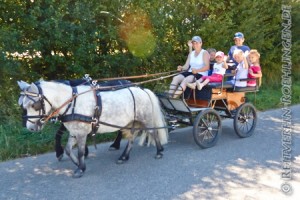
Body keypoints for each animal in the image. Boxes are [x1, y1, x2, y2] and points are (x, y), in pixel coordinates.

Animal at [18, 80, 169, 177]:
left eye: (34, 105)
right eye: (23, 105)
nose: (31, 128)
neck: (72, 102)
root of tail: (143, 90)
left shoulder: (82, 133)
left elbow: (80, 152)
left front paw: (80, 169)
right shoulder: (74, 132)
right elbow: (68, 149)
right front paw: (78, 164)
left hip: (146, 119)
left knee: (153, 132)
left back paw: (159, 152)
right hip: (131, 122)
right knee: (131, 138)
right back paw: (123, 157)